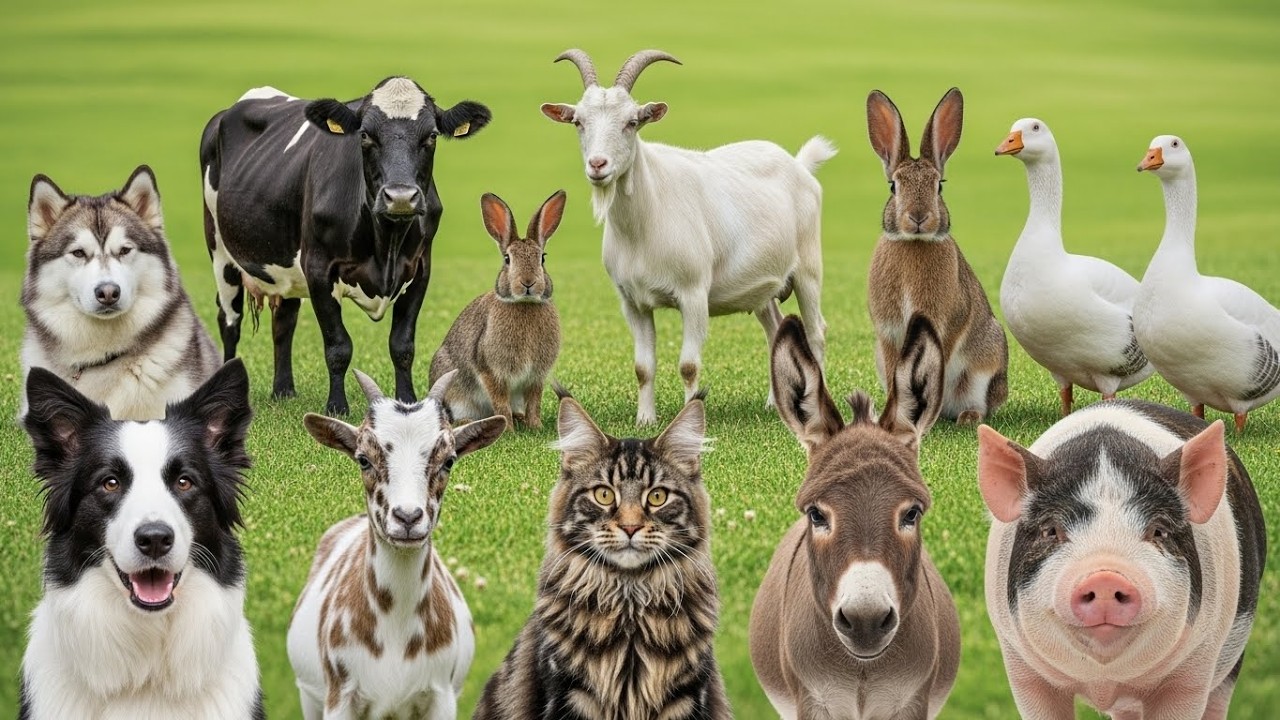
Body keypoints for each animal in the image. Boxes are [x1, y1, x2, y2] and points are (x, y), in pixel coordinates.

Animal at [200, 77, 492, 414]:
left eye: (431, 136)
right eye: (365, 135)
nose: (401, 197)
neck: (386, 245)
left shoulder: (420, 268)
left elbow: (402, 345)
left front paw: (407, 401)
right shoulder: (318, 268)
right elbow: (338, 346)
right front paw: (336, 407)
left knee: (283, 321)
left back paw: (283, 391)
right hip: (221, 252)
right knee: (229, 321)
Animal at [287, 370, 505, 720]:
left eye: (449, 460)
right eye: (363, 459)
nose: (407, 516)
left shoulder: (442, 696)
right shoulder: (339, 697)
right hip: (310, 696)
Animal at [542, 48, 836, 425]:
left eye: (632, 122)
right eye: (579, 122)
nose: (598, 164)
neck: (645, 223)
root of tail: (799, 165)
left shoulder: (694, 294)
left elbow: (688, 365)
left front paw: (690, 420)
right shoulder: (631, 302)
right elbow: (642, 367)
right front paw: (645, 420)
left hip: (808, 269)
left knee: (816, 332)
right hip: (763, 286)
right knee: (775, 330)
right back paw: (775, 403)